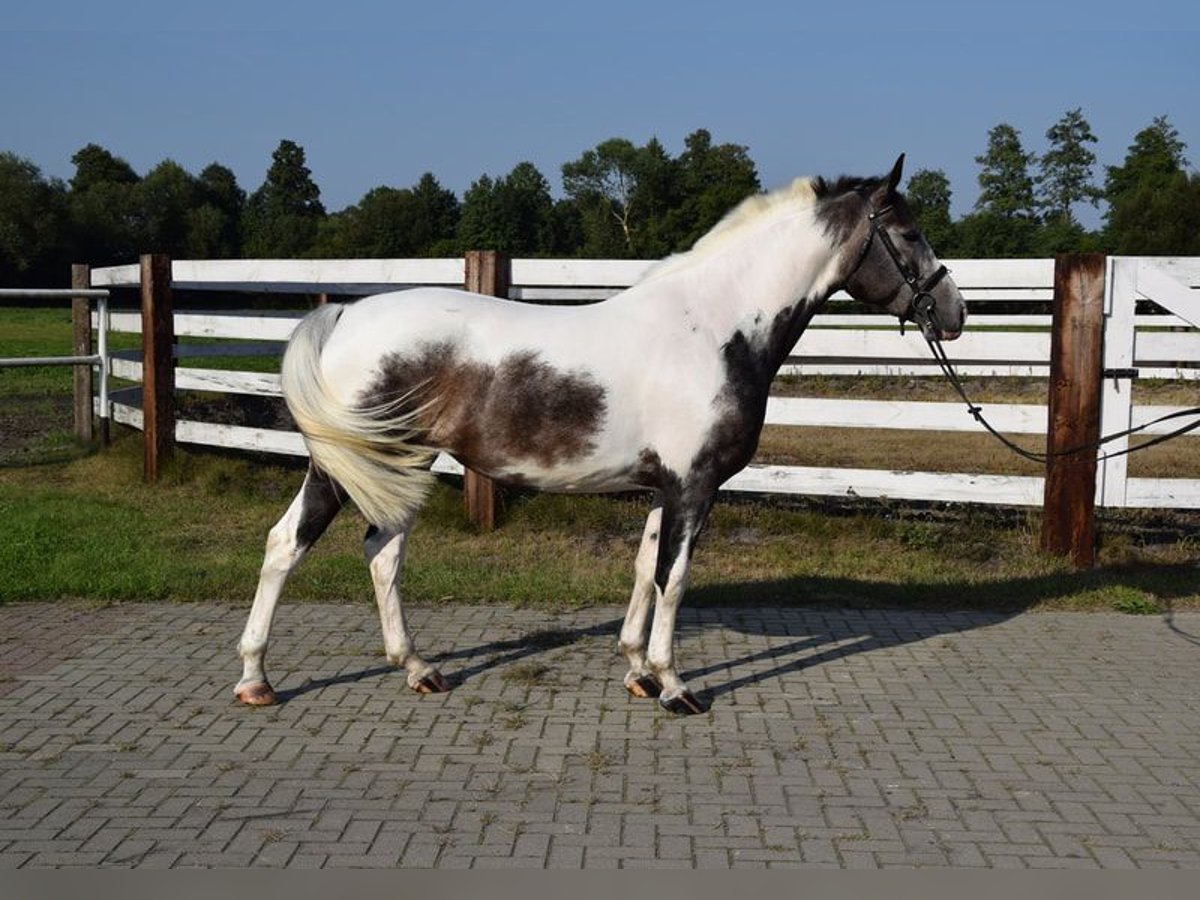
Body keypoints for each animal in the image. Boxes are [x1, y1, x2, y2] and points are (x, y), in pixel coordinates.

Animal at [231, 154, 964, 720]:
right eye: (908, 232)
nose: (955, 313)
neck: (716, 326)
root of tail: (345, 313)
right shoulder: (695, 486)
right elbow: (675, 577)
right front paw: (675, 686)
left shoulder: (663, 487)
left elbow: (644, 569)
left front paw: (637, 670)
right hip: (351, 465)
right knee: (288, 544)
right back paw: (256, 679)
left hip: (399, 465)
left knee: (381, 552)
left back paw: (417, 668)